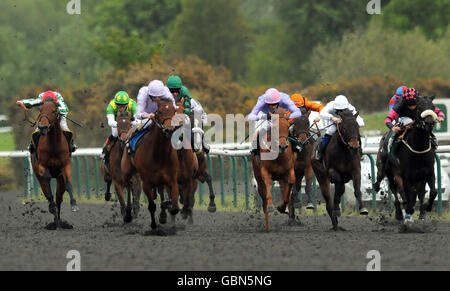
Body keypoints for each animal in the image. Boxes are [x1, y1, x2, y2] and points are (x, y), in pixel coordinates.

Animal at [28, 100, 75, 230]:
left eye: (54, 111)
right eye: (40, 110)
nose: (43, 127)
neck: (53, 144)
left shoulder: (65, 166)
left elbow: (69, 185)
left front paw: (74, 204)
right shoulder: (42, 167)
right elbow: (48, 190)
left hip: (59, 180)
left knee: (58, 198)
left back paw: (58, 223)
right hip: (39, 176)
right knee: (49, 195)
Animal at [122, 99, 182, 234]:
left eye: (174, 111)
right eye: (159, 111)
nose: (169, 129)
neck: (159, 154)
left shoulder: (172, 180)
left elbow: (174, 205)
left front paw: (168, 211)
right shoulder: (146, 182)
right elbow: (151, 206)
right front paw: (154, 226)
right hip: (127, 172)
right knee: (128, 188)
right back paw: (128, 214)